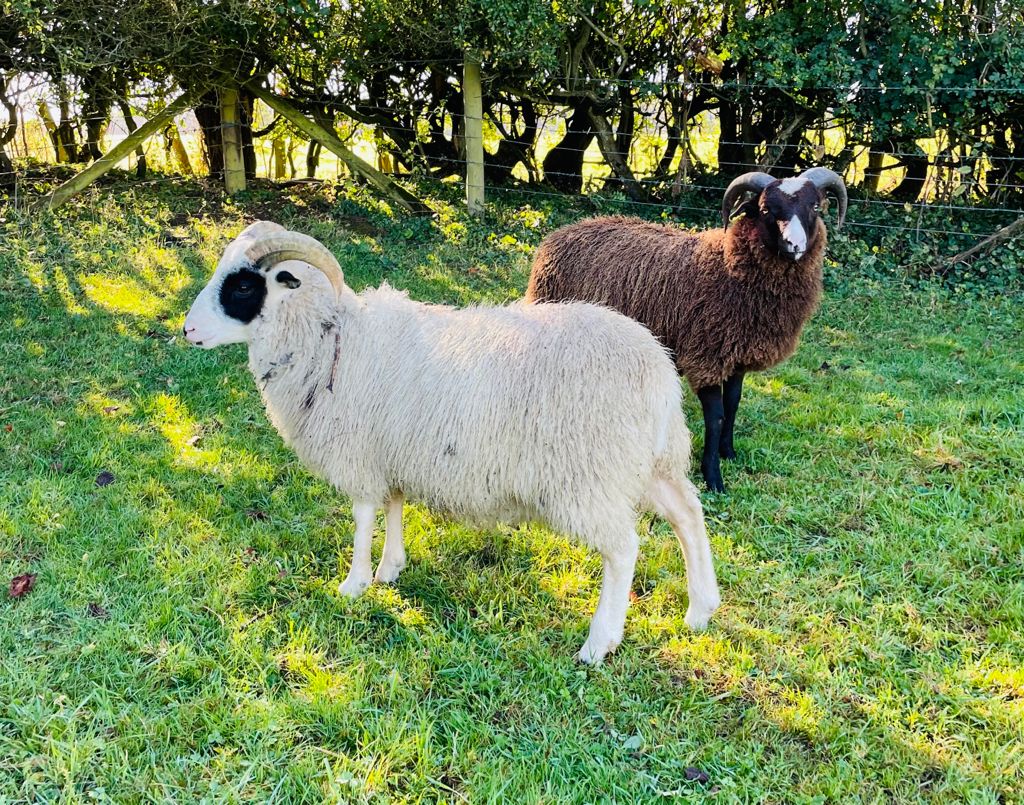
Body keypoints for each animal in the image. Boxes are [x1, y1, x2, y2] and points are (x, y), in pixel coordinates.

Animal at [182, 222, 720, 664]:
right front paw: (390, 569)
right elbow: (395, 506)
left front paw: (354, 583)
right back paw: (700, 610)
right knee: (688, 515)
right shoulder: (393, 451)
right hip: (651, 461)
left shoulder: (359, 453)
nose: (187, 330)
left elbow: (363, 517)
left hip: (590, 475)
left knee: (624, 550)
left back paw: (600, 642)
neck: (329, 340)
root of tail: (658, 370)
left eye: (244, 284)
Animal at [525, 167, 848, 493]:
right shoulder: (704, 357)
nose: (795, 245)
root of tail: (561, 234)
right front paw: (713, 476)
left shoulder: (736, 355)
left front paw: (728, 452)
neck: (728, 266)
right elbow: (716, 417)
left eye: (815, 207)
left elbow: (733, 404)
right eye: (767, 209)